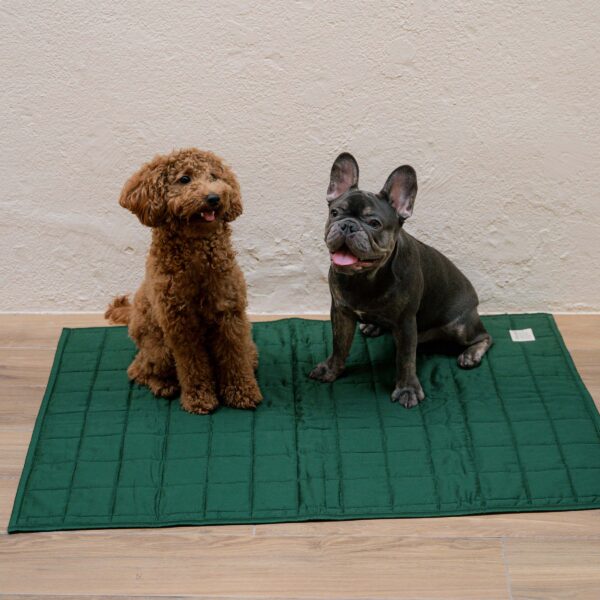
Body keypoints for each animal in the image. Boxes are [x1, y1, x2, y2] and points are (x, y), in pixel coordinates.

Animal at [106, 148, 262, 414]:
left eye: (214, 176)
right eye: (185, 179)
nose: (214, 198)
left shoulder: (230, 314)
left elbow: (234, 357)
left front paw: (243, 392)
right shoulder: (180, 324)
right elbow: (192, 365)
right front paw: (199, 399)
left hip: (248, 343)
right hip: (159, 349)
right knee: (139, 369)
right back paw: (163, 385)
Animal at [310, 153, 492, 408]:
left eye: (374, 223)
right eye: (334, 213)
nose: (347, 225)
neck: (365, 278)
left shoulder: (406, 323)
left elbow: (405, 359)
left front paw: (407, 389)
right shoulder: (340, 312)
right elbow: (339, 345)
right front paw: (331, 369)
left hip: (459, 327)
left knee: (485, 336)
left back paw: (471, 354)